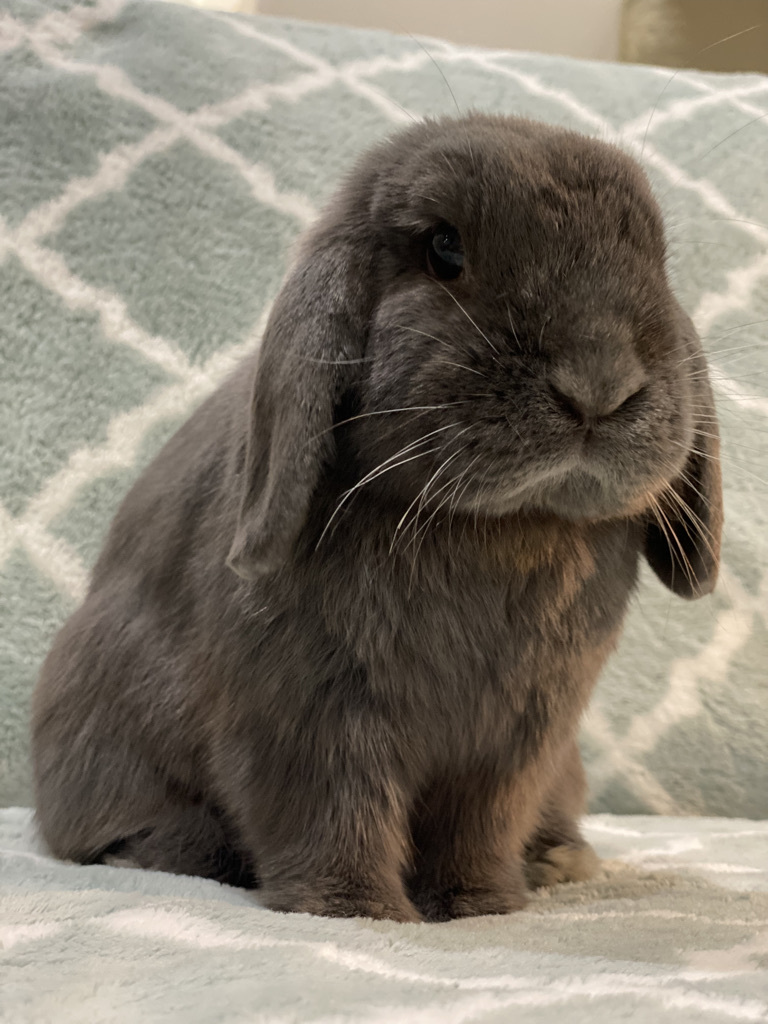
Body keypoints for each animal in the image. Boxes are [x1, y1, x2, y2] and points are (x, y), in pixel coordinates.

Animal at [33, 116, 724, 925]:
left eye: (657, 259)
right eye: (443, 248)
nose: (600, 382)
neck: (496, 522)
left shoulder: (521, 736)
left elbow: (479, 823)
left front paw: (481, 906)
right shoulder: (310, 715)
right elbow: (333, 813)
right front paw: (356, 912)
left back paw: (558, 862)